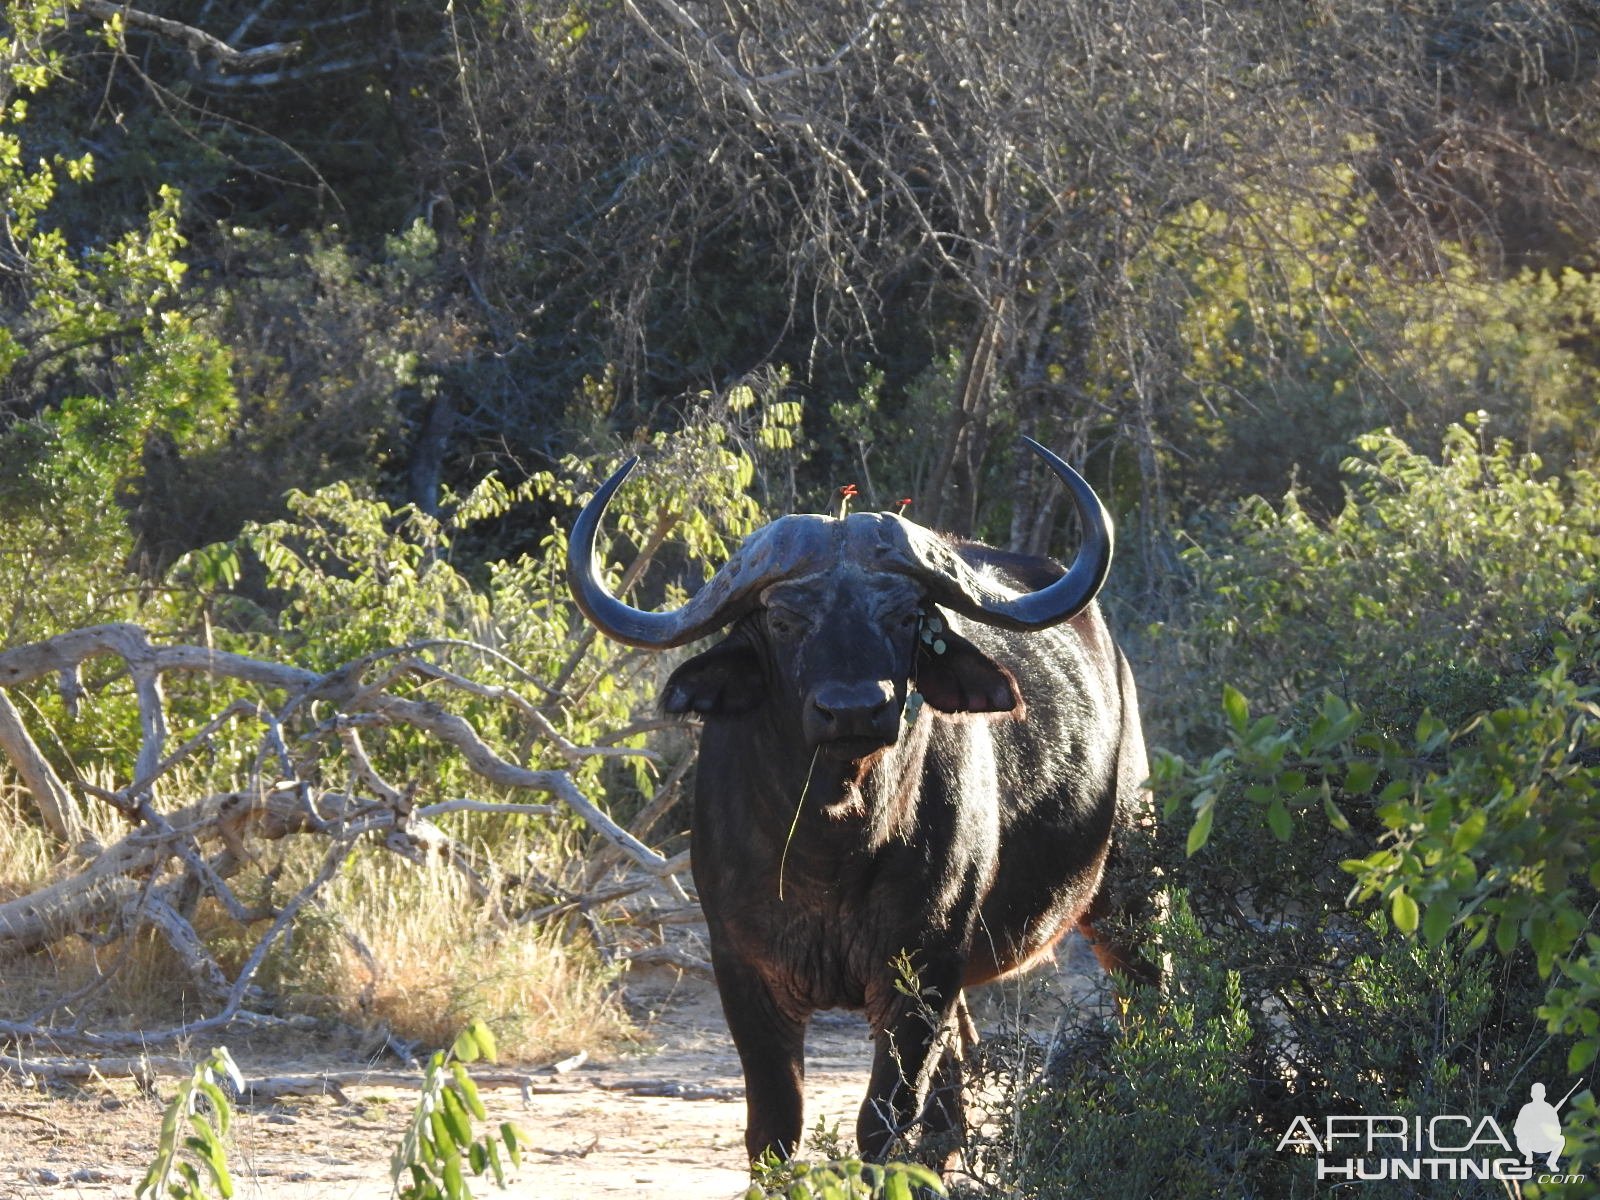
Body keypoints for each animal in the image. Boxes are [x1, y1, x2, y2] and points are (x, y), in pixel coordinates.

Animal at [569, 438, 1158, 1164]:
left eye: (904, 616)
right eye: (784, 620)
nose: (854, 709)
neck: (834, 845)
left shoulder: (921, 971)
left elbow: (883, 1121)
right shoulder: (740, 969)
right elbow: (774, 1127)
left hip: (1128, 890)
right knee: (953, 1086)